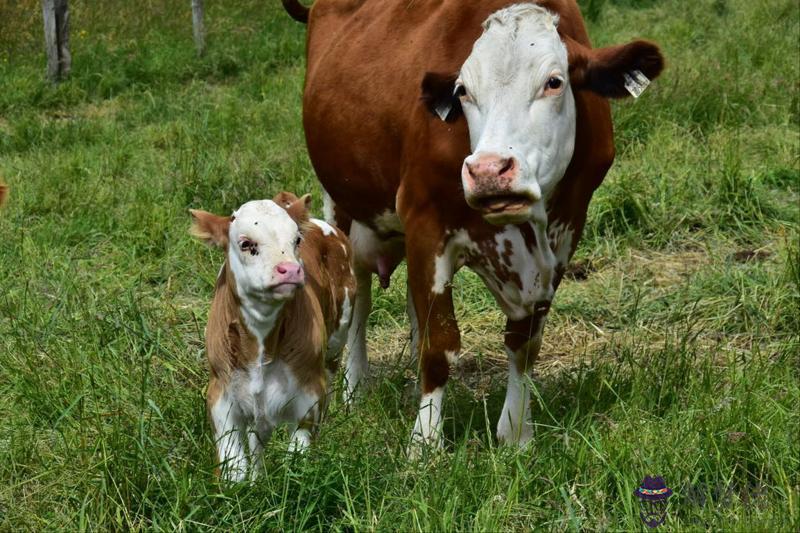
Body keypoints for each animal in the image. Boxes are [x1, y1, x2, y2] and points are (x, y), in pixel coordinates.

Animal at [189, 192, 354, 482]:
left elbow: (296, 462)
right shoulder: (220, 395)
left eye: (296, 240)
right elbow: (235, 468)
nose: (290, 270)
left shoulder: (310, 397)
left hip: (337, 338)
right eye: (246, 243)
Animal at [284, 0, 664, 454]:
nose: (488, 171)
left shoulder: (564, 235)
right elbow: (439, 344)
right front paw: (424, 442)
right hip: (342, 205)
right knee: (358, 295)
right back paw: (353, 388)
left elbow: (524, 343)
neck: (524, 233)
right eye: (464, 91)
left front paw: (516, 432)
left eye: (554, 82)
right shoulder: (426, 223)